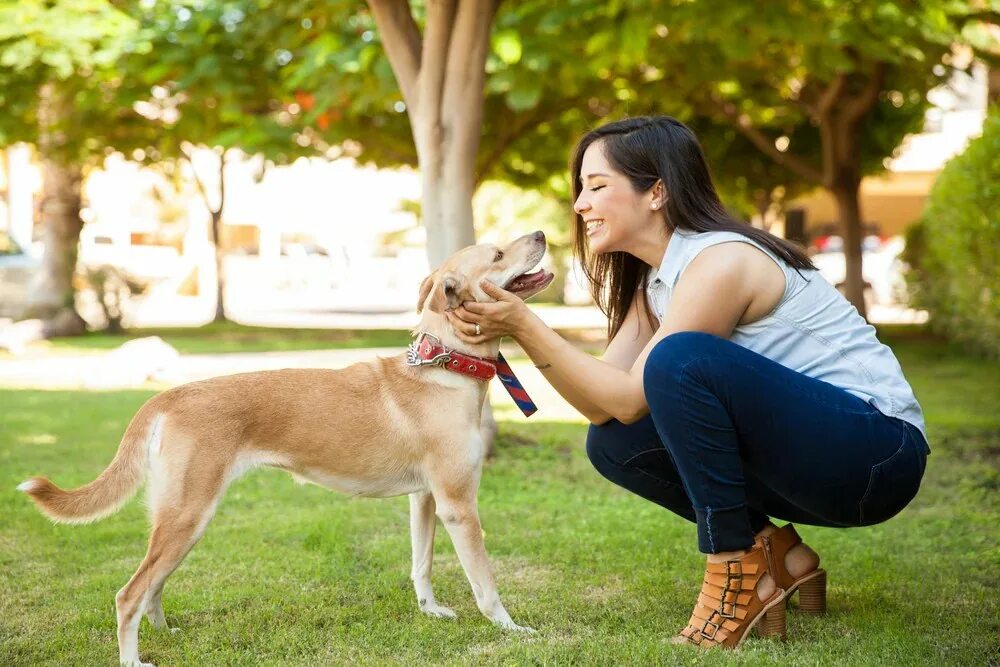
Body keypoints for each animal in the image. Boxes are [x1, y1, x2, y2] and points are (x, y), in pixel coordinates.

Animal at [15, 231, 556, 667]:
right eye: (498, 254)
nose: (542, 233)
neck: (444, 366)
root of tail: (169, 395)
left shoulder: (425, 500)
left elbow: (420, 566)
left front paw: (432, 612)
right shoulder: (459, 506)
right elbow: (485, 583)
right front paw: (511, 629)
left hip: (178, 521)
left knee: (151, 588)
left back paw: (166, 632)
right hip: (188, 514)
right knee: (129, 595)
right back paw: (133, 658)